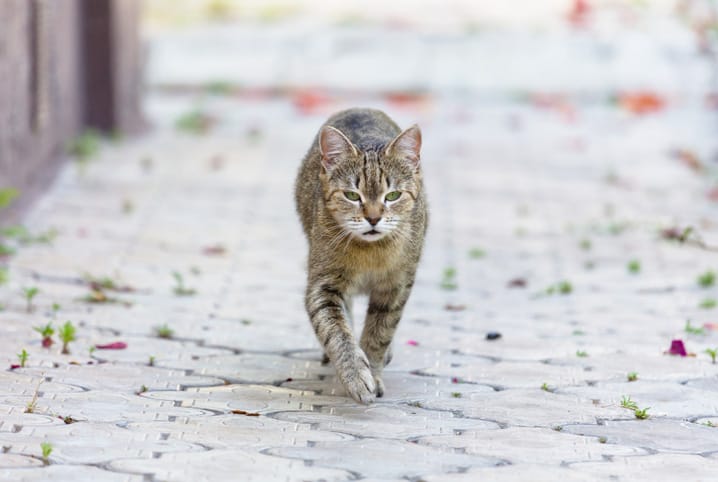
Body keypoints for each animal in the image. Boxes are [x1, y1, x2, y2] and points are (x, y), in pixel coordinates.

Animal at [296, 108, 428, 402]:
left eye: (393, 195)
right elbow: (337, 333)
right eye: (351, 195)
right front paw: (356, 375)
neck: (371, 253)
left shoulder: (397, 286)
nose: (374, 218)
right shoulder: (323, 285)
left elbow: (380, 332)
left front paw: (373, 371)